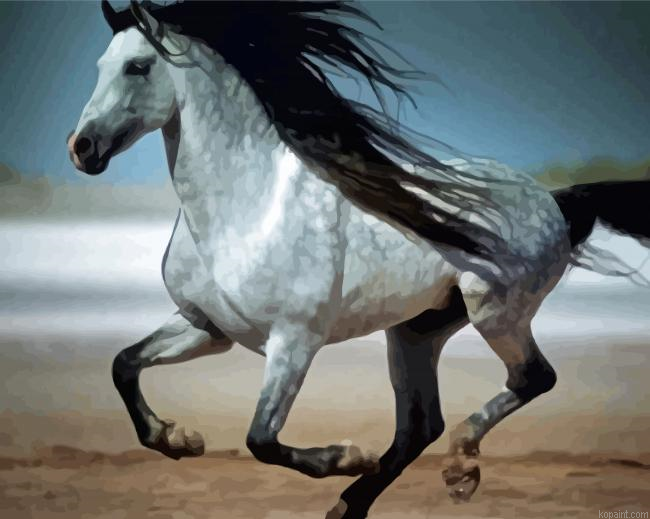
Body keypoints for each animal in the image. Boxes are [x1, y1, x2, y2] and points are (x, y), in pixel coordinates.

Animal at [67, 1, 578, 517]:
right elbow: (123, 365)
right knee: (420, 425)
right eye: (99, 67)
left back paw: (459, 466)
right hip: (416, 330)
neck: (246, 210)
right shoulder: (206, 327)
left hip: (494, 314)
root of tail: (548, 199)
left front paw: (347, 456)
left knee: (533, 378)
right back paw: (354, 503)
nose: (81, 147)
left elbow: (261, 439)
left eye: (137, 66)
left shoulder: (294, 342)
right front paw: (178, 439)